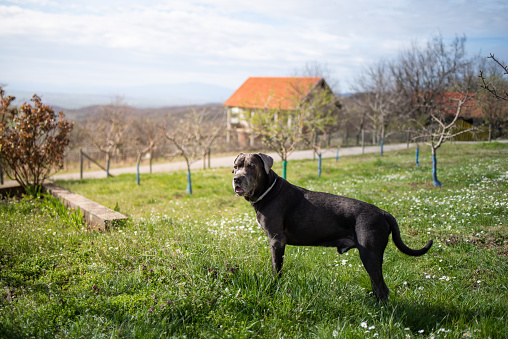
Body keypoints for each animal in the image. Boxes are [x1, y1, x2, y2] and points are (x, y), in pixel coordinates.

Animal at [231, 153, 432, 300]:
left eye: (251, 166)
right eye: (235, 168)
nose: (236, 179)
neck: (269, 190)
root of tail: (383, 213)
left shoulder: (277, 240)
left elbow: (276, 268)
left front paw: (275, 286)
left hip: (370, 254)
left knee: (382, 289)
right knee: (379, 287)